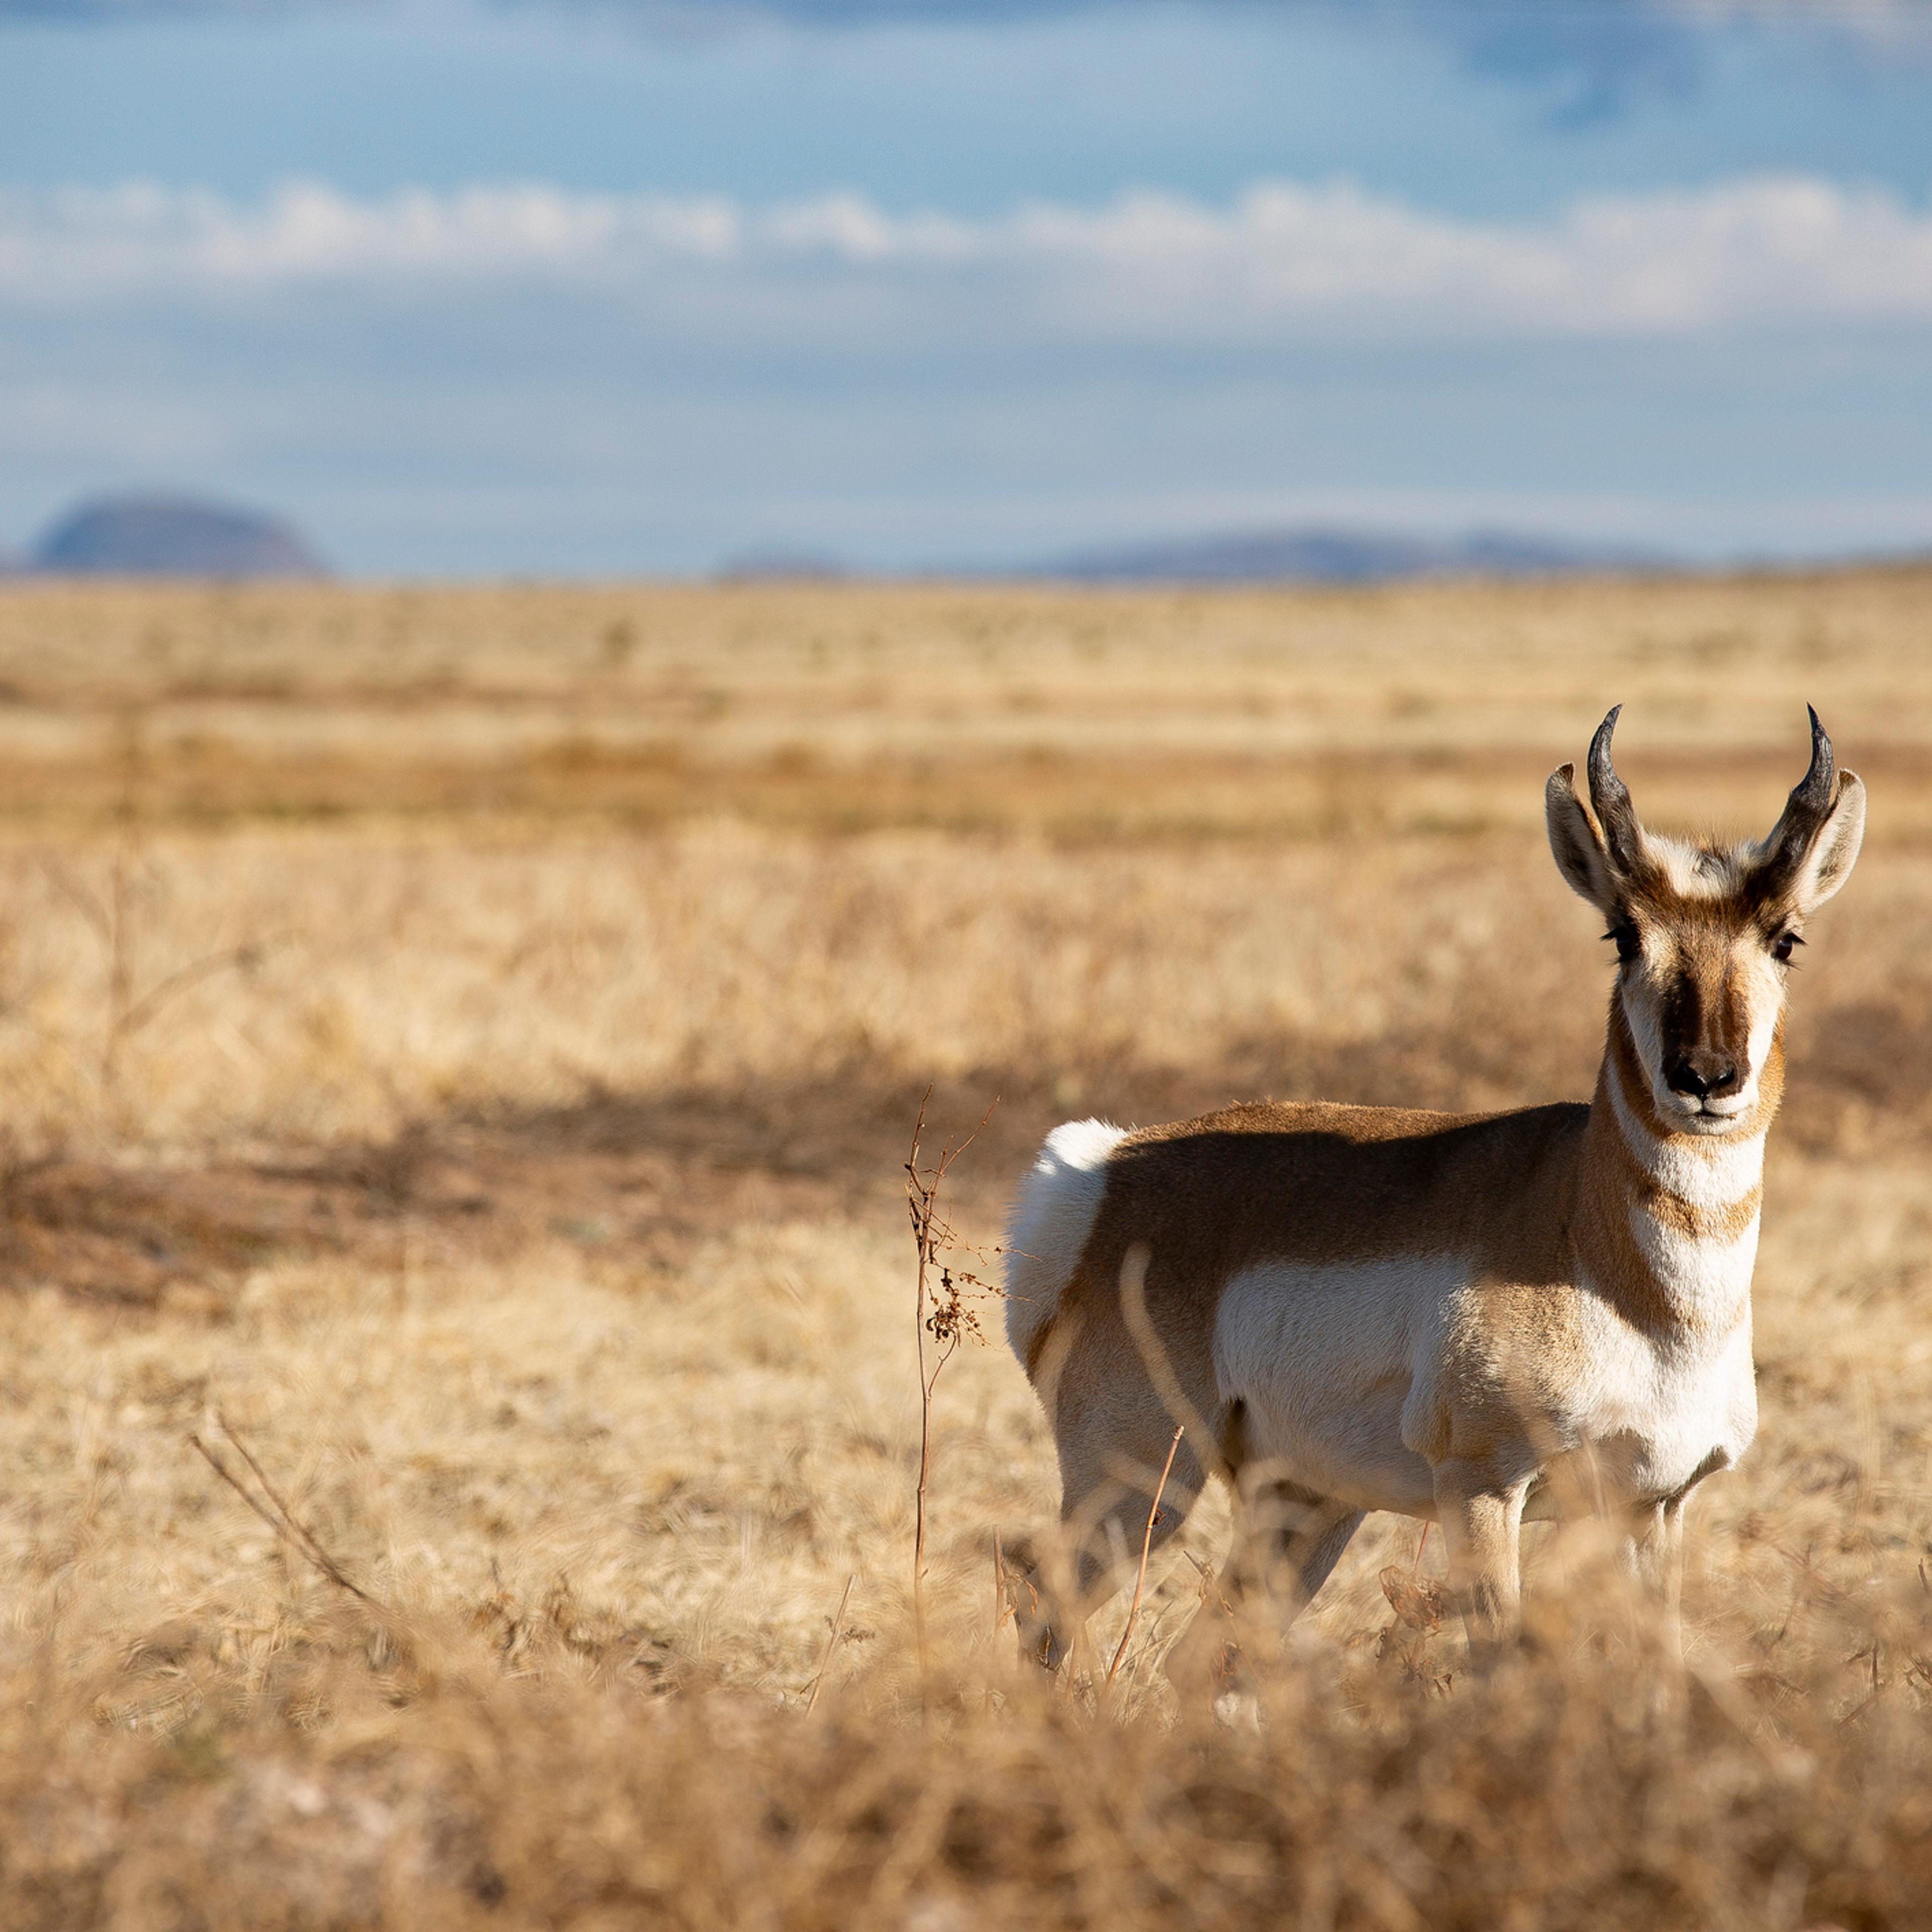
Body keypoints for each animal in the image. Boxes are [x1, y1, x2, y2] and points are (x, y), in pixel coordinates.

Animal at [1002, 708, 1864, 1671]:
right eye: (1624, 935)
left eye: (1785, 938)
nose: (1707, 1078)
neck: (1599, 1251)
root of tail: (1106, 1171)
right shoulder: (1483, 1492)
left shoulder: (1656, 1505)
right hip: (1142, 1484)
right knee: (1042, 1600)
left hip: (1305, 1508)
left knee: (1201, 1654)